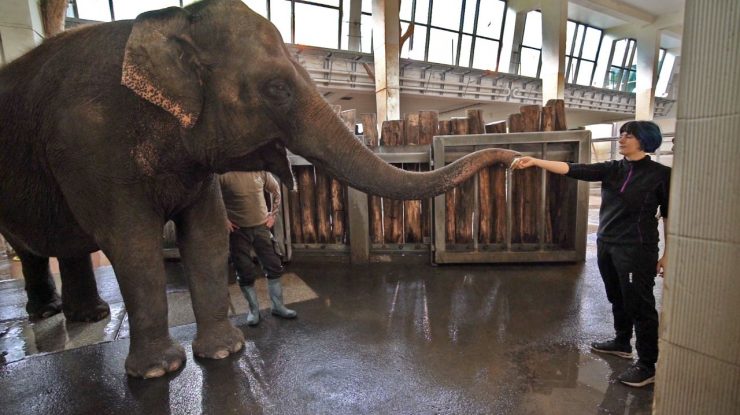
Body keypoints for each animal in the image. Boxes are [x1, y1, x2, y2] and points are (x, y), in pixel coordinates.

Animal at [0, 0, 517, 378]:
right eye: (277, 89)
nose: (512, 156)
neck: (162, 24)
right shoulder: (90, 145)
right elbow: (133, 243)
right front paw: (159, 372)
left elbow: (207, 234)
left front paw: (224, 353)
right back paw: (58, 314)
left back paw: (88, 317)